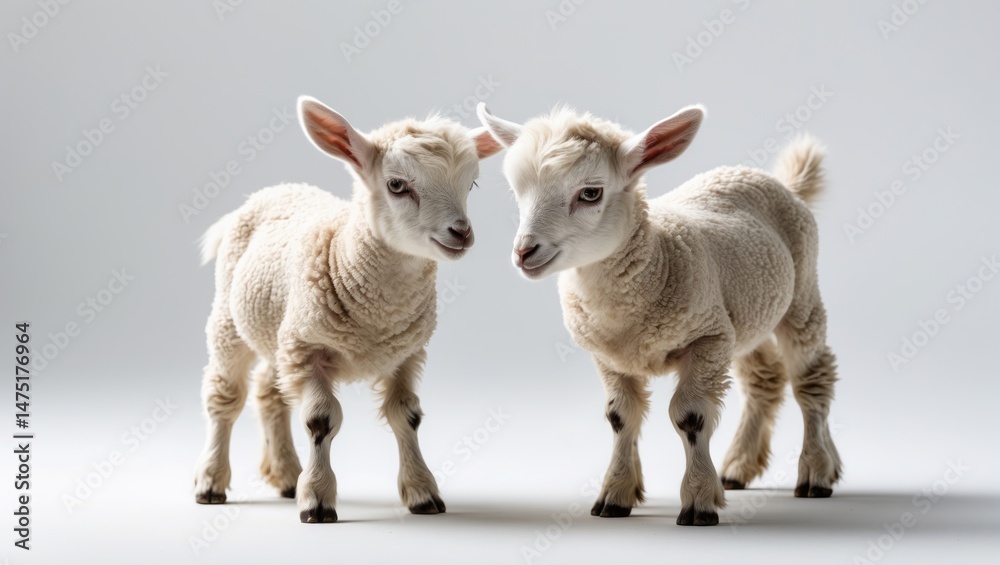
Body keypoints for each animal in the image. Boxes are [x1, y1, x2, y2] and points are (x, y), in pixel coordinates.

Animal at [193, 96, 503, 523]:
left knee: (268, 393)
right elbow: (320, 420)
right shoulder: (308, 350)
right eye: (397, 185)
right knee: (224, 398)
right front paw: (317, 499)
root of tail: (274, 190)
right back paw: (211, 481)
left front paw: (422, 492)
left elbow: (407, 416)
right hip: (230, 322)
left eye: (470, 184)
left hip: (278, 332)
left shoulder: (406, 354)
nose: (461, 233)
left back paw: (286, 475)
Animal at [477, 103, 842, 526]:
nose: (524, 252)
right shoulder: (610, 356)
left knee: (812, 379)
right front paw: (616, 494)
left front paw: (699, 500)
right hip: (747, 313)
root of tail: (779, 181)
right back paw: (742, 468)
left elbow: (690, 417)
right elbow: (621, 417)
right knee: (764, 380)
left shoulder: (707, 338)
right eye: (517, 192)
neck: (658, 256)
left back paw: (816, 472)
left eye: (590, 193)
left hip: (801, 295)